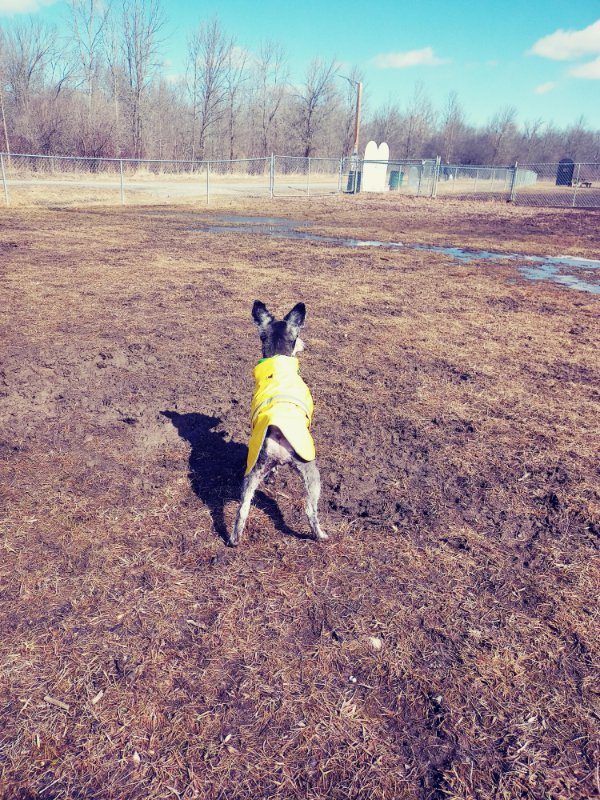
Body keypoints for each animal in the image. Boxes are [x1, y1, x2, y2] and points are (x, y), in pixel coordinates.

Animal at [229, 304, 326, 548]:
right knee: (310, 510)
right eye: (298, 336)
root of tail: (278, 431)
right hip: (311, 472)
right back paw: (320, 535)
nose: (305, 345)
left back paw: (234, 539)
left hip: (252, 472)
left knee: (242, 509)